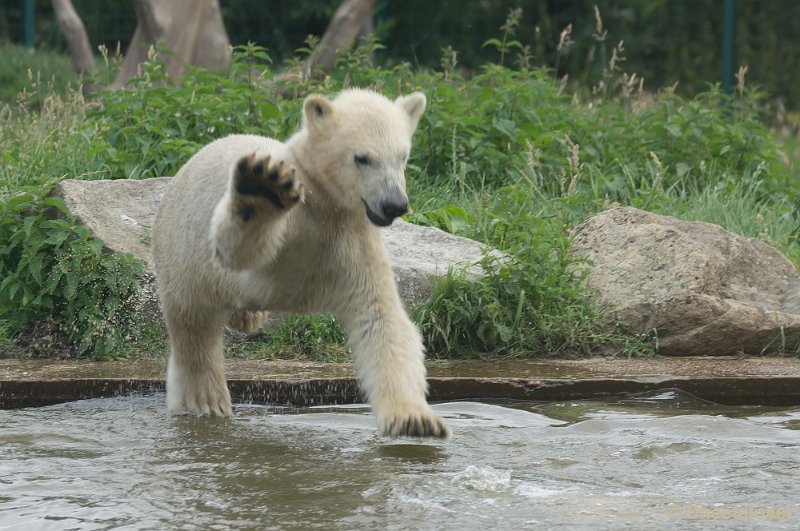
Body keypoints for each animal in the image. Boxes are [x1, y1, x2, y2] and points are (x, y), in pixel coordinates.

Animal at [150, 89, 450, 438]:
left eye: (403, 156)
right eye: (362, 158)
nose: (394, 204)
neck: (321, 199)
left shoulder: (352, 238)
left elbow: (380, 317)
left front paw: (416, 420)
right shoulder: (296, 223)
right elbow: (237, 251)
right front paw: (260, 189)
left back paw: (246, 319)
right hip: (182, 253)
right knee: (193, 328)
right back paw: (203, 401)